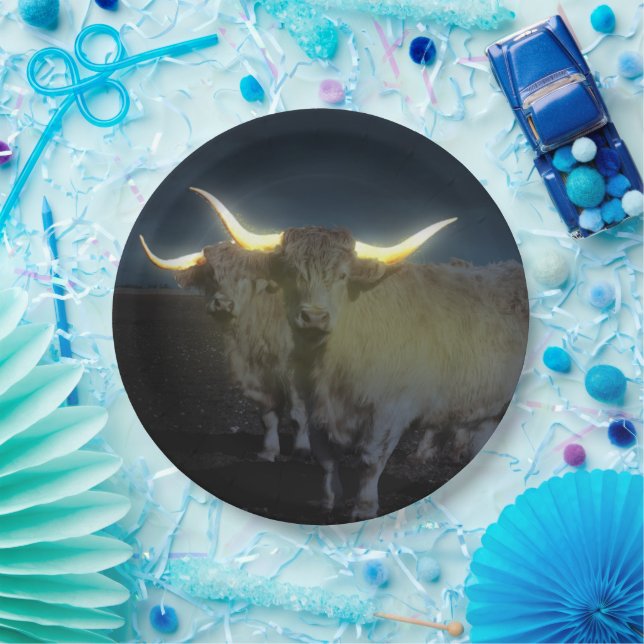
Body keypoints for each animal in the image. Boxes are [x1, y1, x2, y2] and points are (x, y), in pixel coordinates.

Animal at [139, 188, 309, 462]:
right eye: (211, 274)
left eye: (246, 276)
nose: (222, 305)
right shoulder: (256, 373)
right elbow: (268, 414)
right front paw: (269, 451)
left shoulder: (296, 369)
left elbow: (297, 411)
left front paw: (303, 451)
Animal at [203, 190, 528, 520]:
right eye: (292, 273)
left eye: (343, 276)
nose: (314, 317)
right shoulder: (313, 404)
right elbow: (325, 457)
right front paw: (329, 500)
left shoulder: (390, 409)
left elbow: (371, 460)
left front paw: (364, 506)